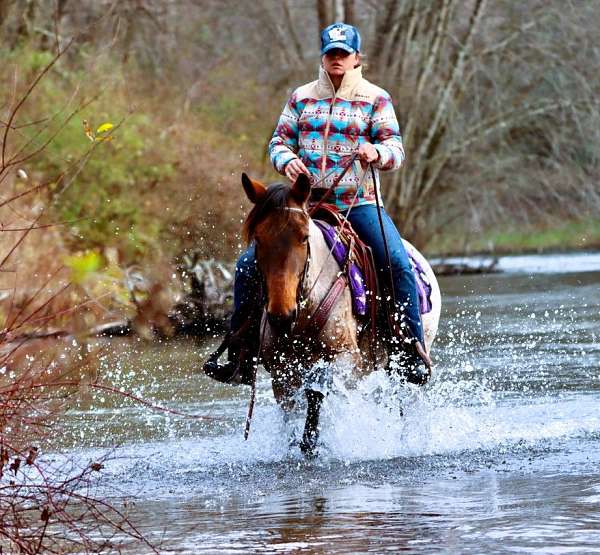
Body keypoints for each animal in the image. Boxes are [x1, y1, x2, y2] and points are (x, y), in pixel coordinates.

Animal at [239, 173, 440, 456]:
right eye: (258, 238)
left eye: (304, 237)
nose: (281, 315)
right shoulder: (281, 371)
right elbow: (292, 414)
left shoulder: (343, 358)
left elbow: (317, 393)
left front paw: (311, 443)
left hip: (409, 358)